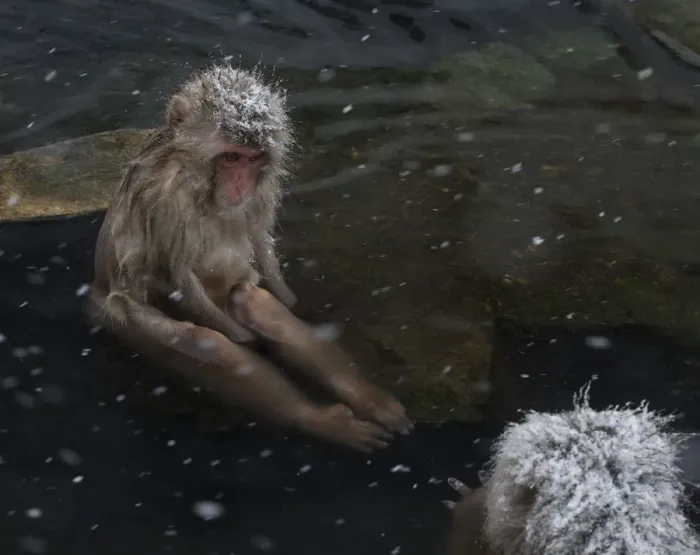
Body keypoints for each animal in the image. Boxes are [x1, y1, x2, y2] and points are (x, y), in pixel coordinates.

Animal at [88, 63, 412, 453]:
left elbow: (260, 244)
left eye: (253, 159)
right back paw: (319, 419)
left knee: (251, 299)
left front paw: (292, 303)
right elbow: (180, 276)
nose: (240, 185)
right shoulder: (168, 198)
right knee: (208, 344)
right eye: (231, 157)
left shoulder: (262, 189)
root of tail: (94, 294)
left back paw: (364, 398)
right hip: (128, 320)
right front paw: (247, 341)